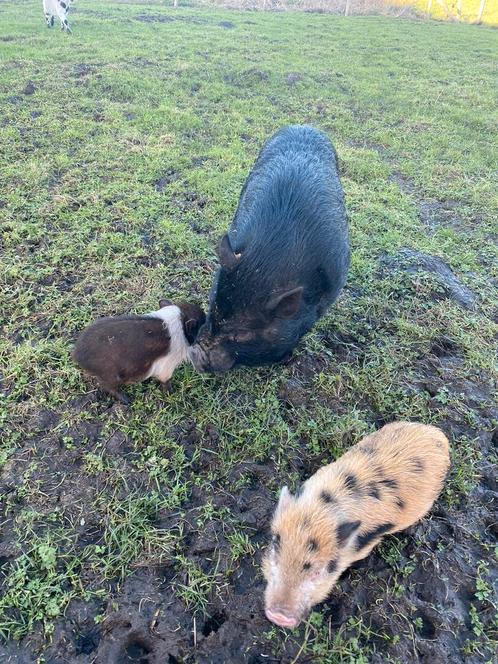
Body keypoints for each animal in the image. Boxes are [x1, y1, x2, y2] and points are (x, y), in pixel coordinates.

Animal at [71, 298, 204, 402]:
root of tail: (77, 355)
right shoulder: (167, 366)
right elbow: (165, 382)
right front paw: (172, 395)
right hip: (112, 375)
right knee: (106, 385)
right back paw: (126, 400)